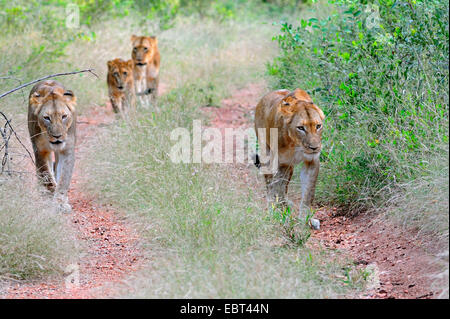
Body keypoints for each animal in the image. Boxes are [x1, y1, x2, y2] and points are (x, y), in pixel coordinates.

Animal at [27, 80, 76, 214]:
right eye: (47, 118)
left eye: (64, 116)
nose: (57, 136)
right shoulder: (40, 150)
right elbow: (46, 175)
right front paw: (49, 197)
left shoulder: (67, 150)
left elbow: (64, 178)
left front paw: (60, 202)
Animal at [255, 87, 326, 228]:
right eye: (301, 128)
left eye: (318, 126)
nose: (314, 148)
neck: (296, 144)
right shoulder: (280, 164)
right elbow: (278, 191)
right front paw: (283, 217)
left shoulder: (312, 161)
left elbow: (308, 194)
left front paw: (305, 220)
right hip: (267, 155)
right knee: (270, 185)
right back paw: (272, 210)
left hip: (290, 167)